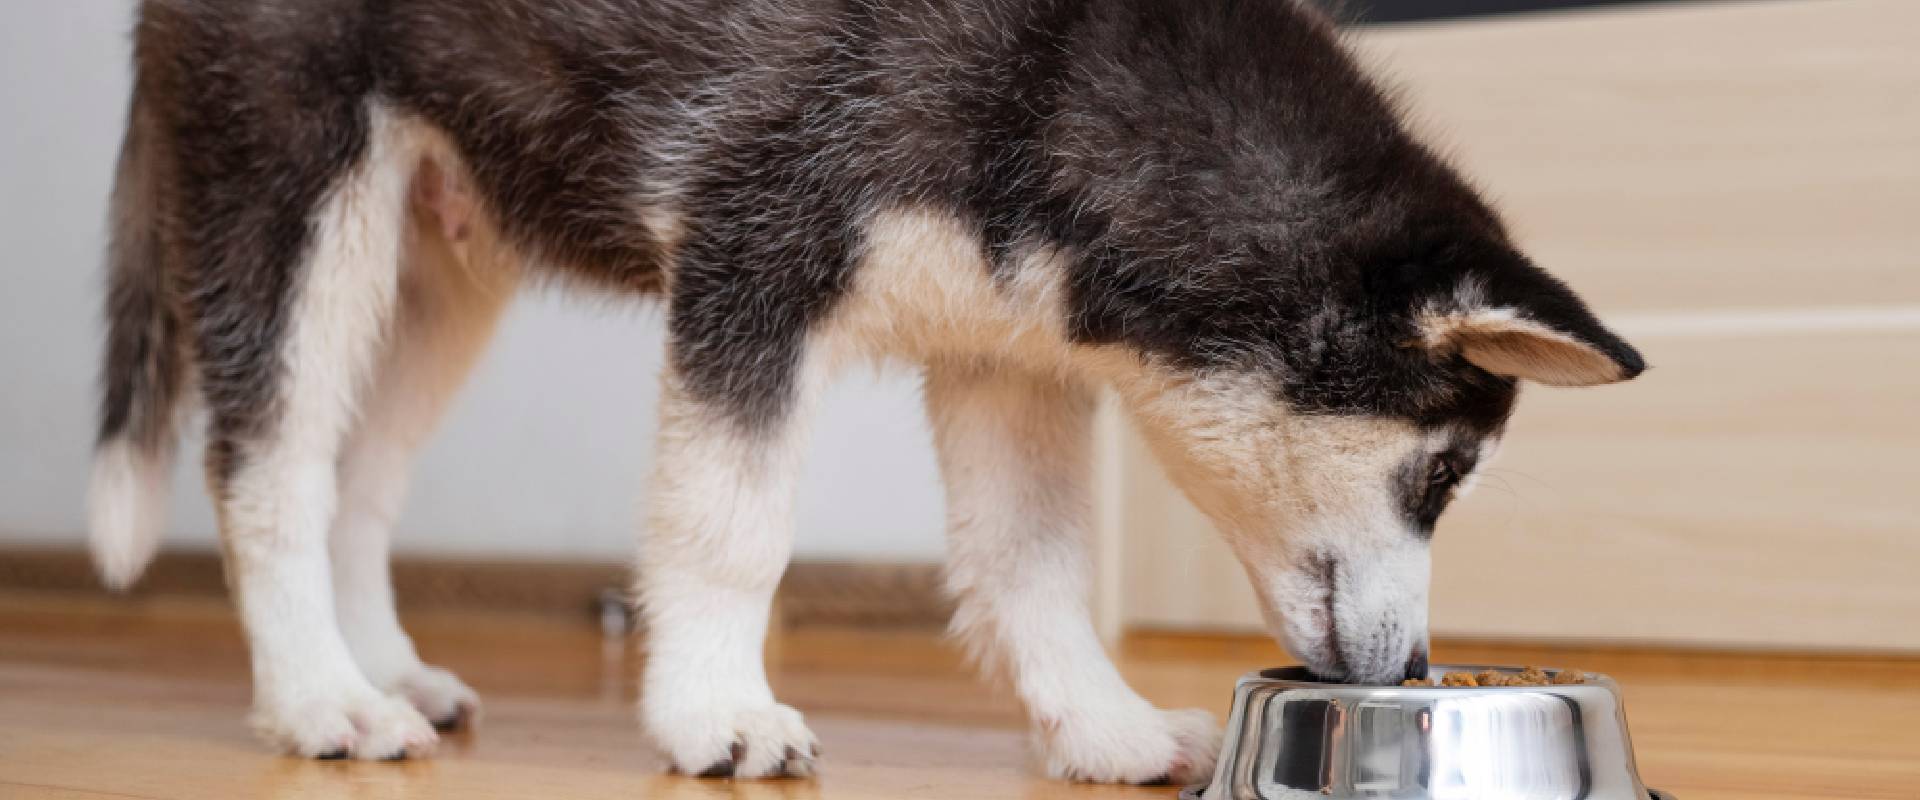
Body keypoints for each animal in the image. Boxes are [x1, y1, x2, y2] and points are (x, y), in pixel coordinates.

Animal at [90, 0, 1643, 782]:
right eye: (1445, 473)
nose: (1414, 673)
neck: (1063, 79)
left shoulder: (1007, 351)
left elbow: (1032, 562)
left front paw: (1102, 728)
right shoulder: (752, 251)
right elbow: (731, 532)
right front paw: (716, 708)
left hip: (436, 261)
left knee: (356, 475)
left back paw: (378, 665)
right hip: (296, 189)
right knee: (268, 468)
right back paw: (317, 697)